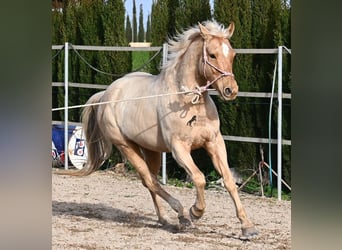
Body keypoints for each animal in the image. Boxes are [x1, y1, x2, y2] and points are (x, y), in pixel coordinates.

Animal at [69, 20, 258, 237]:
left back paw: (164, 218)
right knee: (150, 180)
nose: (230, 90)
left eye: (233, 54)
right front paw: (196, 211)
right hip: (126, 146)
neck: (189, 101)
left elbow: (228, 181)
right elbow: (199, 178)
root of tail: (106, 94)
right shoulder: (179, 148)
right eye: (212, 55)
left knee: (150, 181)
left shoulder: (214, 142)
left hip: (151, 150)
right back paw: (182, 215)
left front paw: (247, 227)